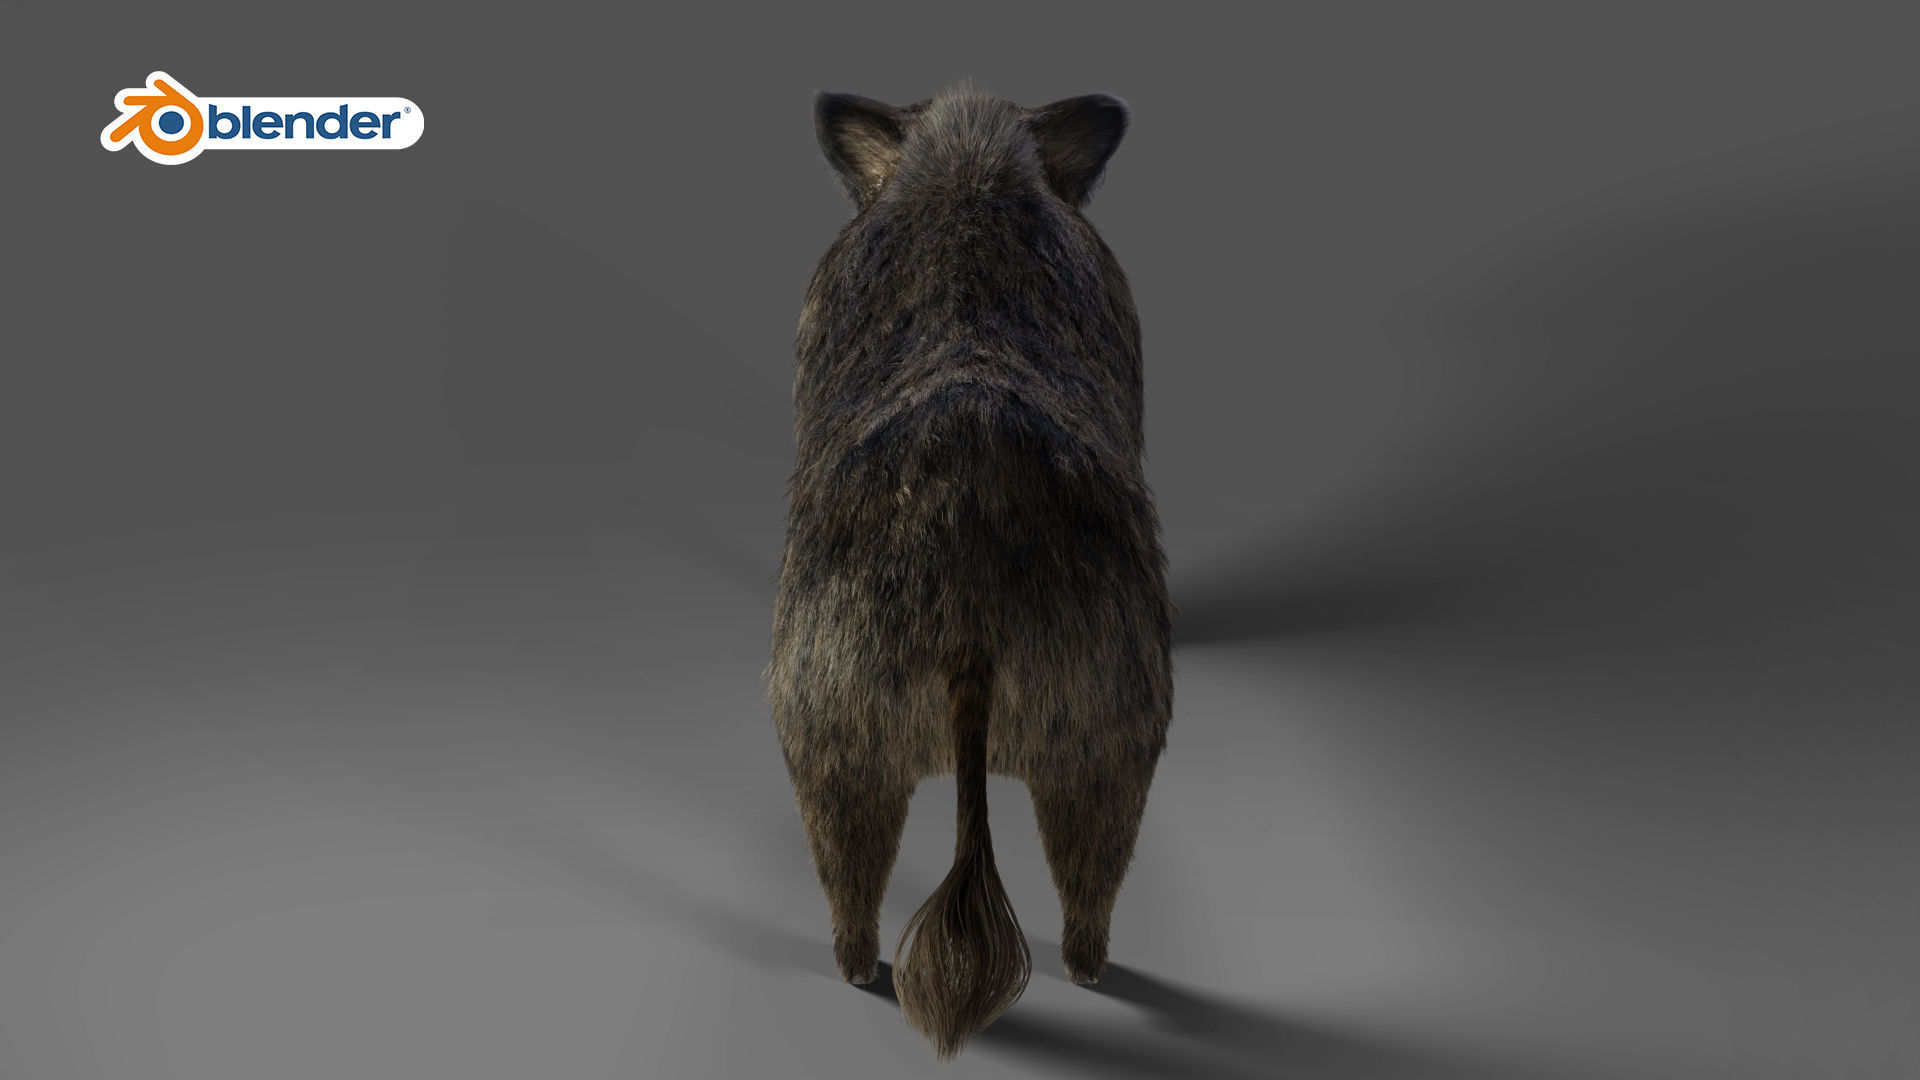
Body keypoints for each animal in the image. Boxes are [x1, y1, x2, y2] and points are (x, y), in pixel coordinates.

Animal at [766, 84, 1172, 1059]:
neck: (966, 174)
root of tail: (972, 617)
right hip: (1100, 738)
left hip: (830, 730)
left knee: (855, 888)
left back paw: (864, 973)